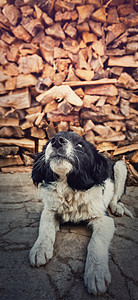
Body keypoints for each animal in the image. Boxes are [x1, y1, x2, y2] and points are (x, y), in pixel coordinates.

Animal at [29, 131, 133, 296]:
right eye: (50, 140)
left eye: (80, 145)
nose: (56, 141)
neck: (70, 187)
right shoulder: (50, 209)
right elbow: (45, 228)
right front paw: (40, 249)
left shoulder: (104, 218)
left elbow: (96, 242)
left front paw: (96, 273)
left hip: (120, 166)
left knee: (115, 197)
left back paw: (117, 207)